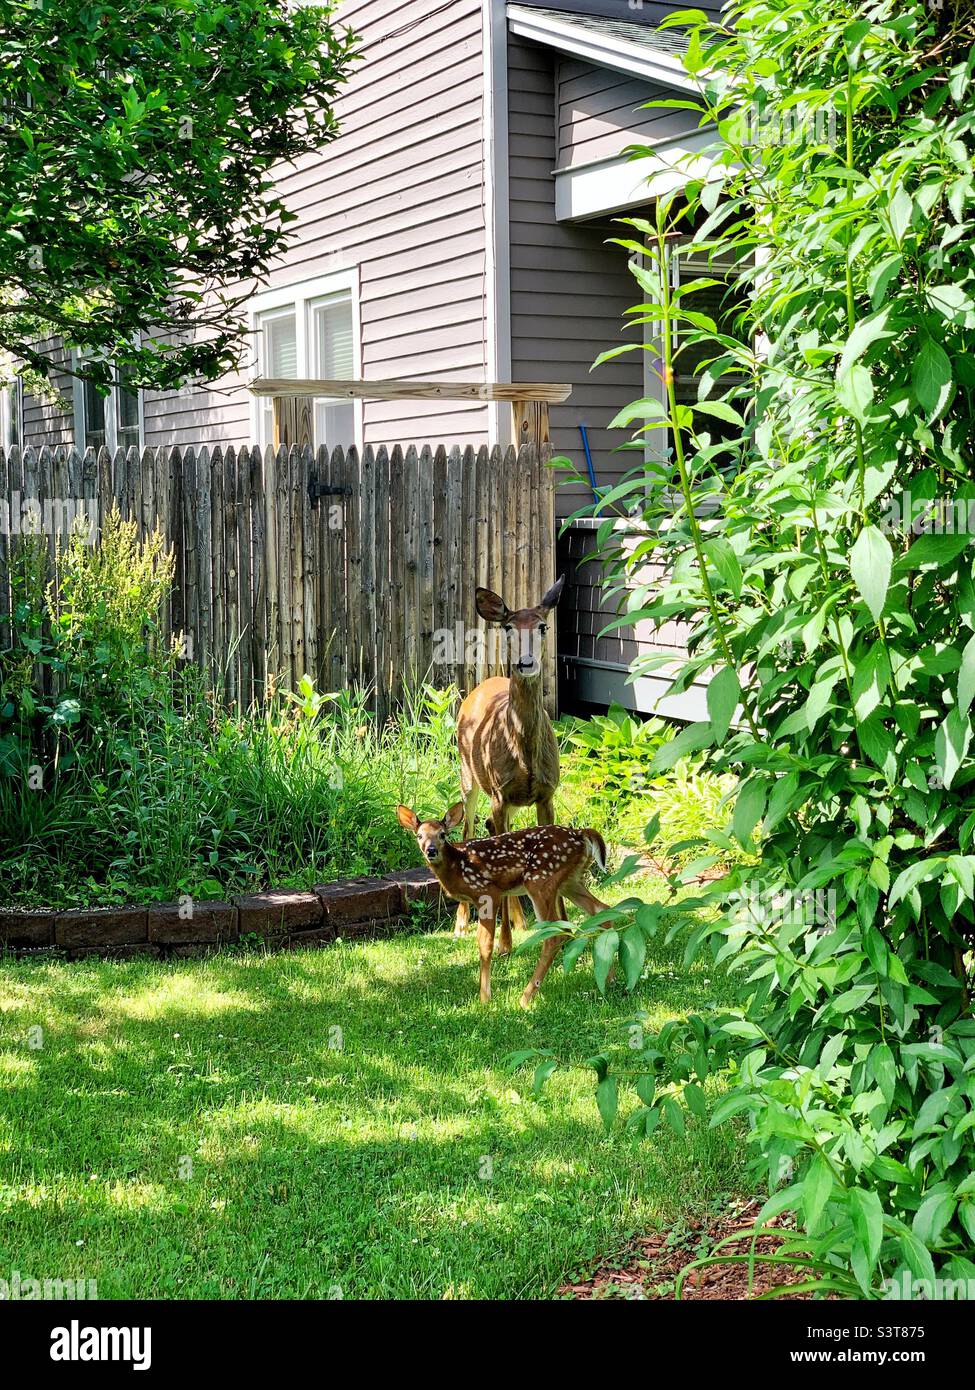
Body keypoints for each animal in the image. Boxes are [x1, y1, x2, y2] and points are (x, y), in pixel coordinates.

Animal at [392, 811, 603, 1006]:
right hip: (570, 881)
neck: (457, 866)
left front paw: (485, 998)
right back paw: (606, 981)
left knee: (555, 936)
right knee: (601, 910)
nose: (431, 851)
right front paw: (485, 995)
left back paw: (525, 998)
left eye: (442, 834)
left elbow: (485, 944)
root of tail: (580, 833)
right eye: (419, 835)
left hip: (540, 880)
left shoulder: (488, 892)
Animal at [453, 575, 561, 956]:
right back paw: (462, 924)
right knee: (469, 830)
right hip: (468, 774)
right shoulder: (499, 794)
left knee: (498, 835)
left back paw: (520, 919)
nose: (526, 663)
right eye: (510, 627)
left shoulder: (546, 794)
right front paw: (502, 944)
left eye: (543, 626)